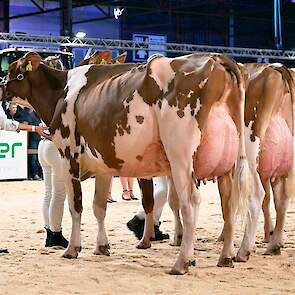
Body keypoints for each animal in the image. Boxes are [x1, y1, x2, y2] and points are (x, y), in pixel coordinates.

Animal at [4, 51, 250, 276]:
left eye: (13, 73)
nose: (1, 89)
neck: (62, 91)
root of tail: (215, 58)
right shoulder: (103, 165)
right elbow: (99, 206)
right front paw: (102, 246)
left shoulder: (69, 156)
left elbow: (76, 206)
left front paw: (73, 249)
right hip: (228, 167)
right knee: (228, 205)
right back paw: (226, 257)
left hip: (181, 159)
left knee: (190, 203)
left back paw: (182, 262)